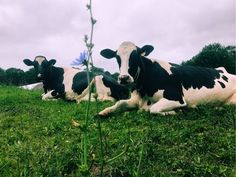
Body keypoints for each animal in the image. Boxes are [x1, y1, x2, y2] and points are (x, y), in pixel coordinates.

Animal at [98, 41, 236, 116]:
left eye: (136, 56)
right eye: (117, 57)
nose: (124, 78)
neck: (143, 91)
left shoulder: (177, 97)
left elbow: (153, 109)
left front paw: (175, 112)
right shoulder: (135, 99)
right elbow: (119, 102)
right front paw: (104, 111)